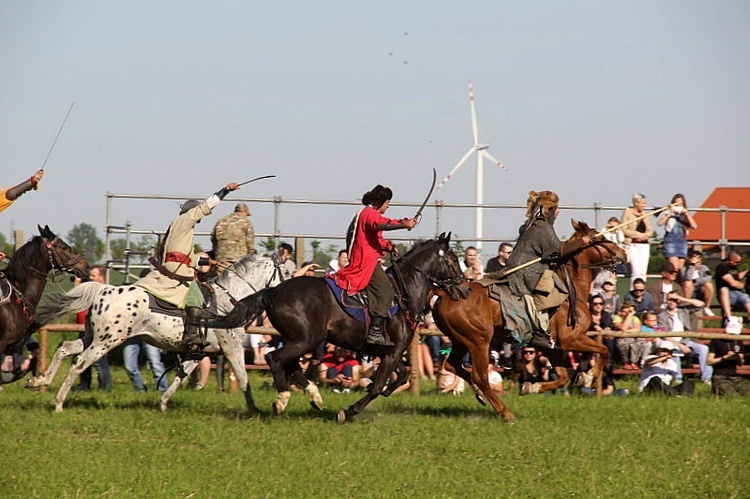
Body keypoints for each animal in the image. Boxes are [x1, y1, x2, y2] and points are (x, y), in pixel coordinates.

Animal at [27, 254, 284, 414]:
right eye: (284, 272)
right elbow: (243, 378)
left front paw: (163, 403)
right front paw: (254, 409)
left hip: (93, 337)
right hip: (106, 342)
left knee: (65, 349)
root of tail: (104, 289)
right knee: (79, 363)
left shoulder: (197, 353)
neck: (230, 301)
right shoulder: (232, 349)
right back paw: (58, 402)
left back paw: (39, 380)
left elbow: (180, 378)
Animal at [207, 233, 464, 422]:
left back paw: (315, 398)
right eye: (452, 260)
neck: (404, 293)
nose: (465, 289)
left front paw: (384, 390)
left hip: (300, 339)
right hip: (306, 339)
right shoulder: (392, 353)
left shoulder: (390, 352)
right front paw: (348, 411)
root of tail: (274, 291)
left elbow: (400, 377)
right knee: (275, 359)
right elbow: (377, 386)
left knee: (290, 364)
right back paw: (282, 400)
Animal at [432, 220, 624, 422]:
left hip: (461, 340)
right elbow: (603, 350)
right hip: (479, 341)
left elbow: (563, 377)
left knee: (452, 365)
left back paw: (481, 396)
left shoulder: (554, 347)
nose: (623, 253)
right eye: (601, 239)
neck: (570, 289)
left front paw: (531, 386)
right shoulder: (571, 339)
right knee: (480, 376)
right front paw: (590, 376)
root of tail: (445, 293)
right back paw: (506, 412)